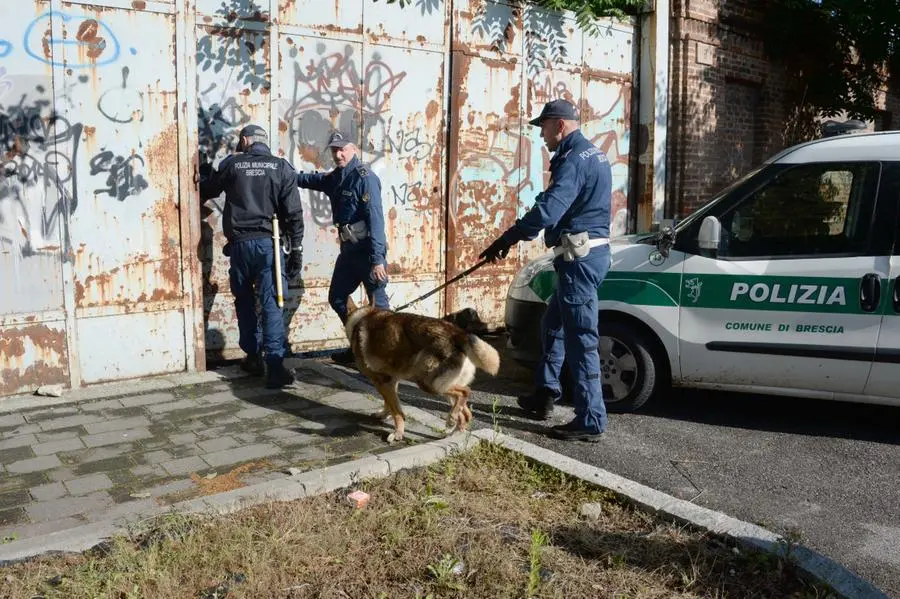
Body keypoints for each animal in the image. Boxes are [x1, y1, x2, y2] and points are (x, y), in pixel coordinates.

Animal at [344, 300, 500, 446]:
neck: (360, 318)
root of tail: (459, 334)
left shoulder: (382, 382)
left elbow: (397, 412)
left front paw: (398, 433)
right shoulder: (390, 382)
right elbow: (389, 404)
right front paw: (384, 415)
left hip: (429, 384)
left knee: (465, 392)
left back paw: (451, 420)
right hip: (443, 386)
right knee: (466, 413)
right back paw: (454, 431)